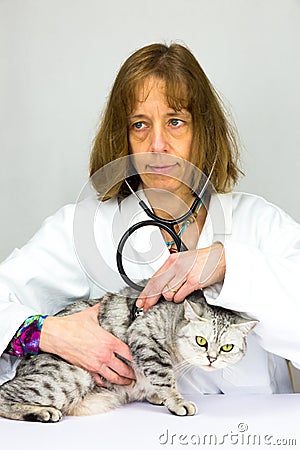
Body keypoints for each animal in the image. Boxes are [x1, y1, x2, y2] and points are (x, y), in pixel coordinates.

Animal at [0, 284, 258, 422]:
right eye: (201, 341)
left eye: (227, 347)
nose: (212, 358)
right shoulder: (145, 338)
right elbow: (164, 377)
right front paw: (176, 401)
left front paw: (155, 395)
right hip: (69, 378)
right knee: (4, 392)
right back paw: (41, 412)